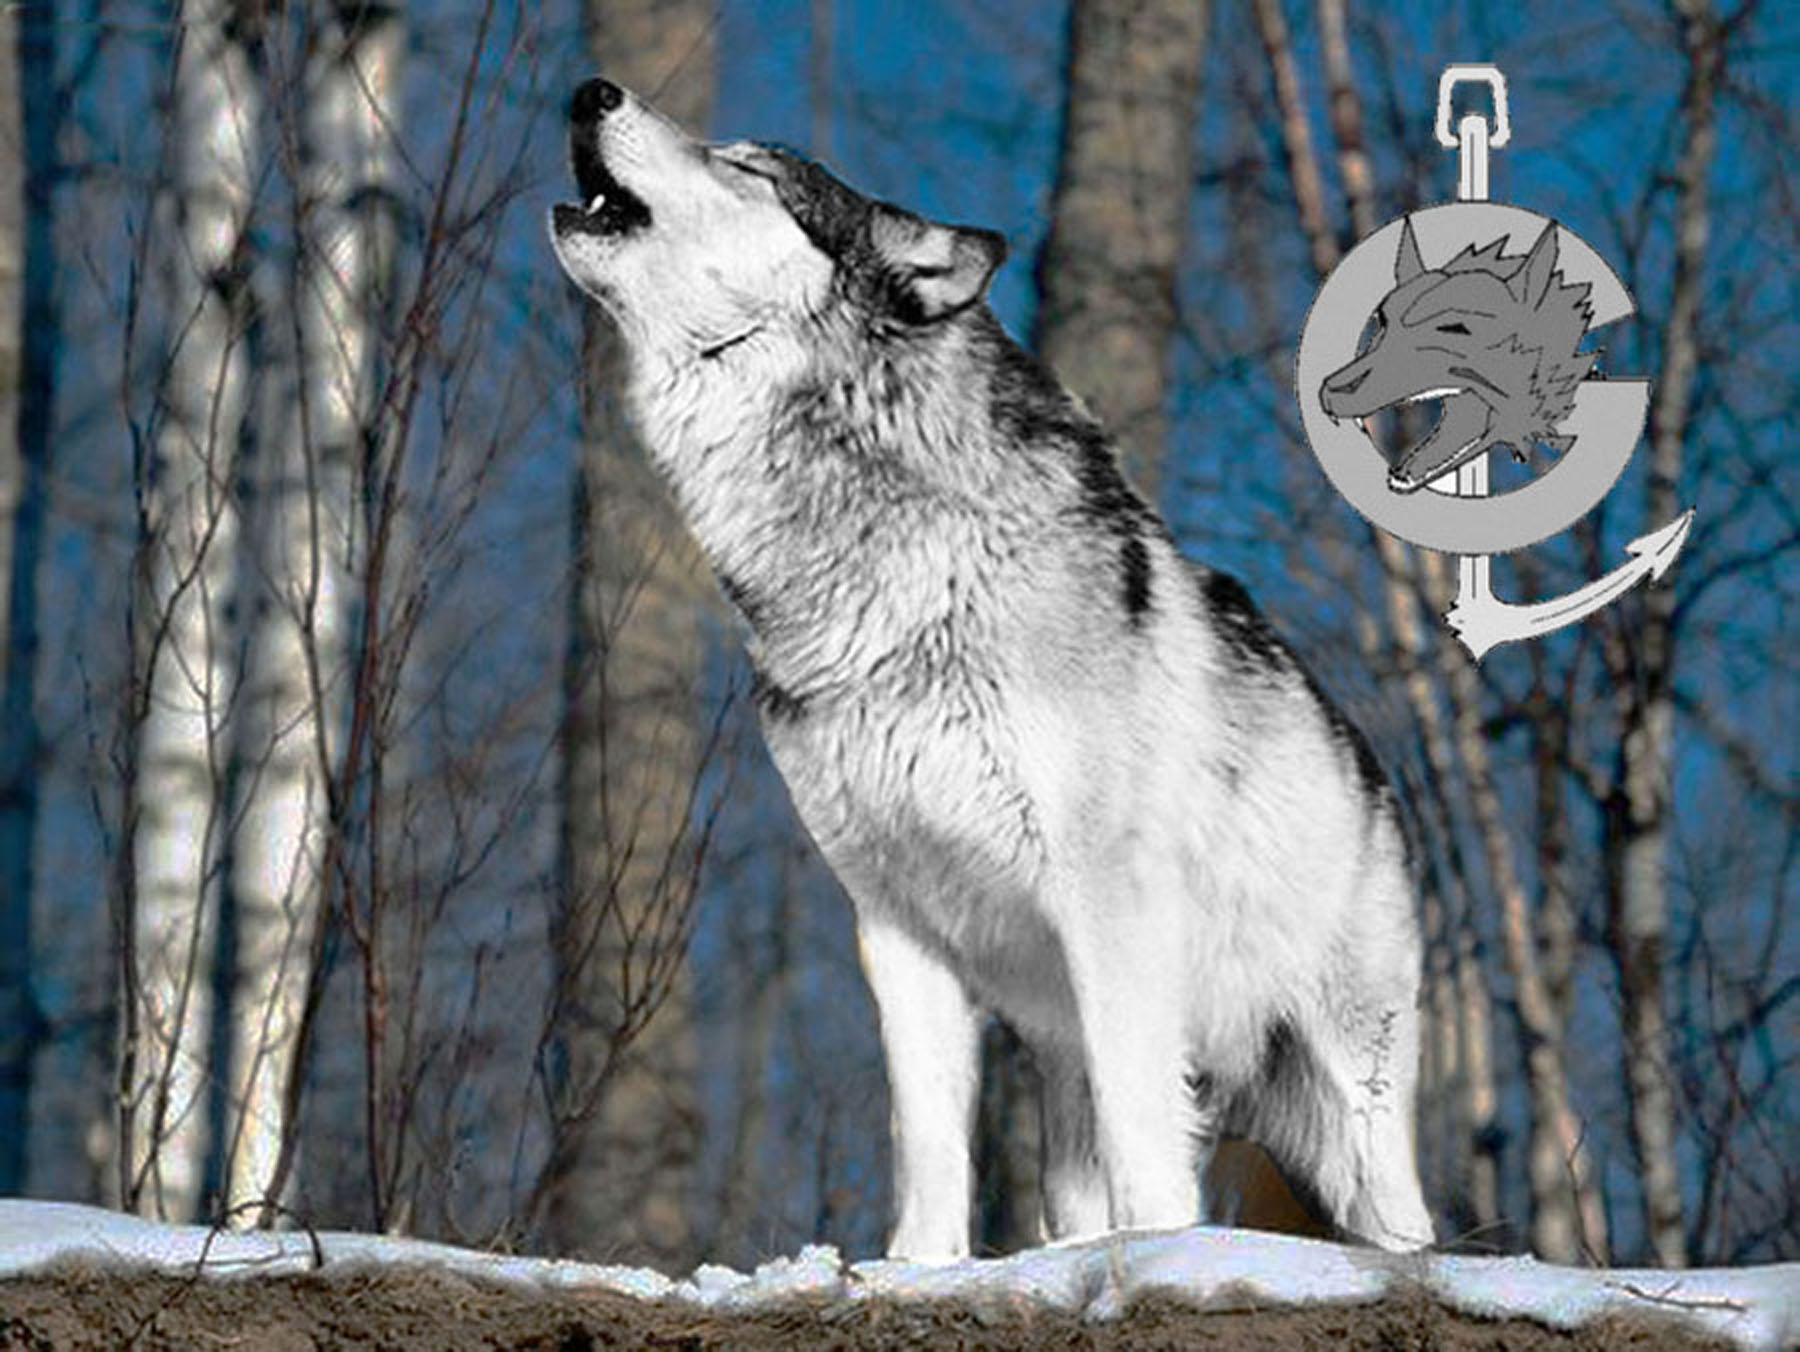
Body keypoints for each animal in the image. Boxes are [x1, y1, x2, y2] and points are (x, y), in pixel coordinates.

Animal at [549, 76, 1434, 1261]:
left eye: (749, 168)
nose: (591, 90)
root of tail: (1374, 770)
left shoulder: (1109, 902)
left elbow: (1146, 1132)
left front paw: (1158, 1258)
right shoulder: (895, 922)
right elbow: (926, 1138)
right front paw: (916, 1269)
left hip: (1347, 1095)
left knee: (1396, 1215)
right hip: (1063, 1054)